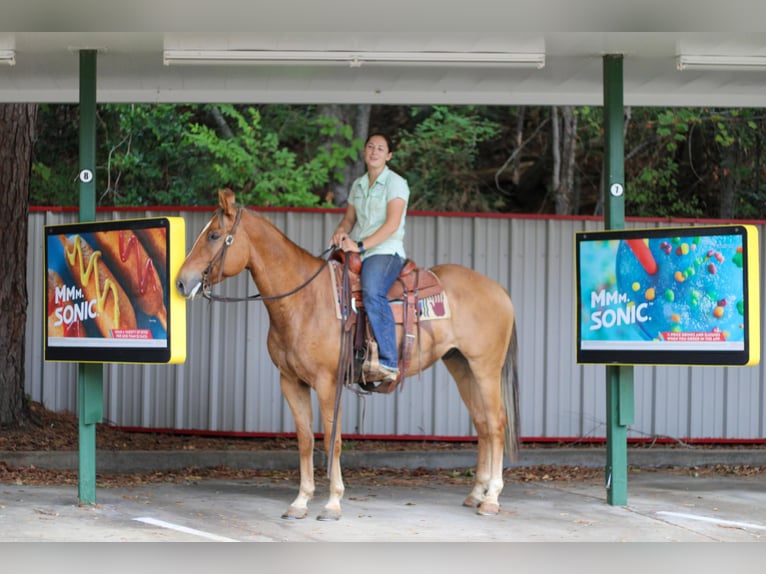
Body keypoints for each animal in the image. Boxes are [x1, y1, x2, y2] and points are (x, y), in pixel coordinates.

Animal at [176, 190, 520, 520]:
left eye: (214, 235)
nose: (181, 282)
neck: (304, 300)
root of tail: (500, 290)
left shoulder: (328, 383)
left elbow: (333, 438)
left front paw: (332, 503)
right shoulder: (291, 381)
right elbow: (305, 440)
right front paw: (300, 501)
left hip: (485, 368)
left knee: (496, 422)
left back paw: (491, 499)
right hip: (460, 365)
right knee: (482, 424)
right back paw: (476, 494)